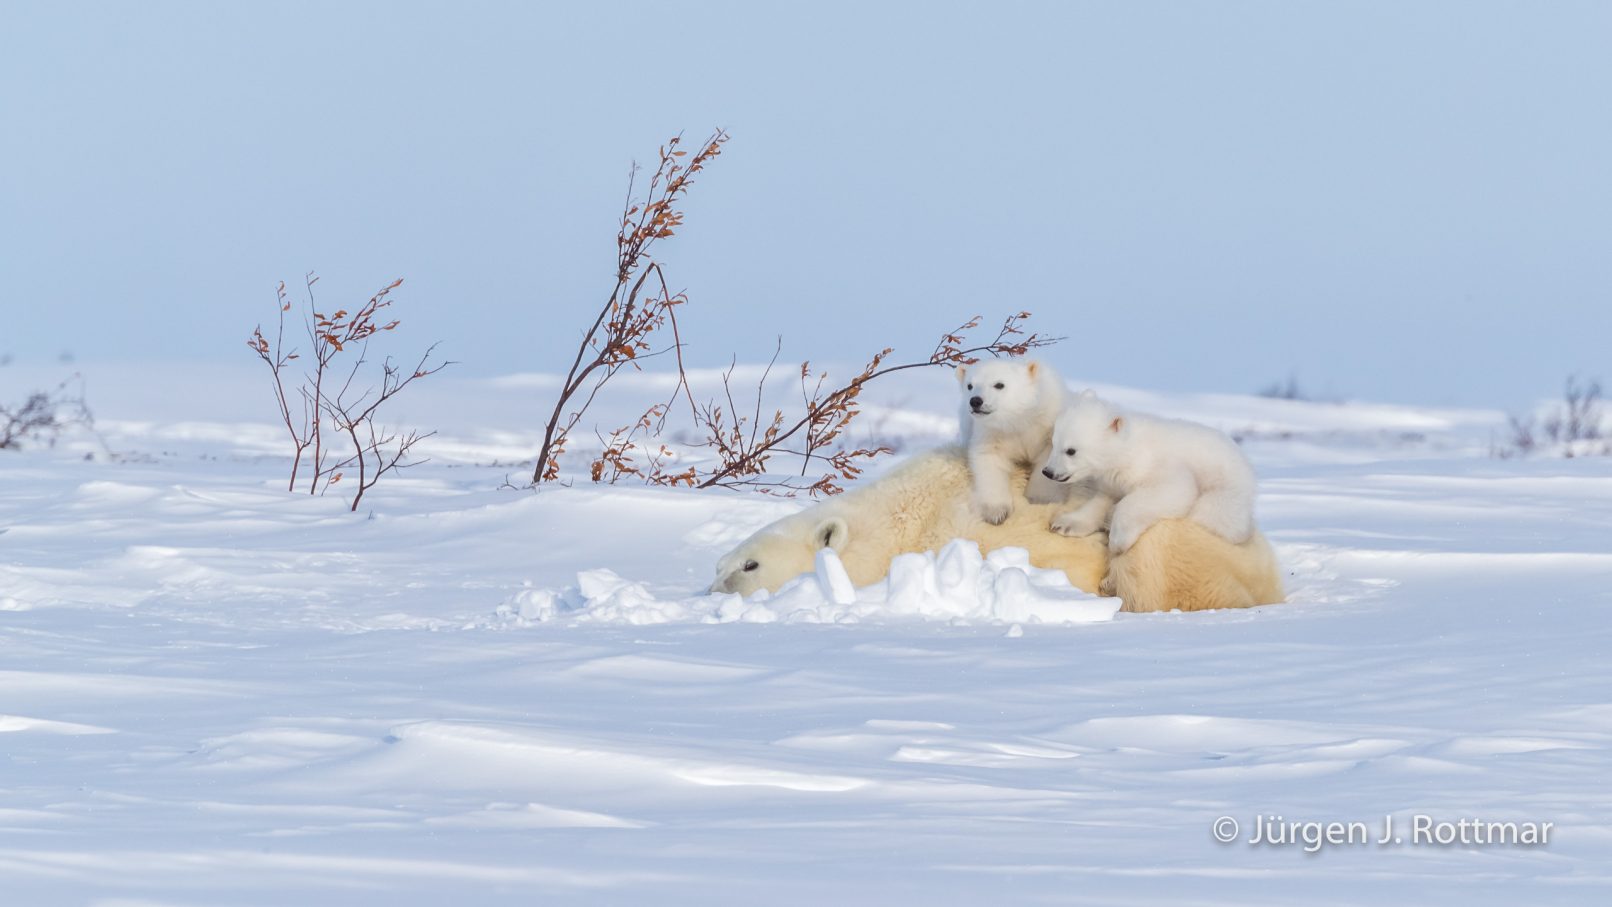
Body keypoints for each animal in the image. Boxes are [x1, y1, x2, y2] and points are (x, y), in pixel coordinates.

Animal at [957, 358, 1070, 525]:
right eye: (969, 385)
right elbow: (990, 460)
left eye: (999, 384)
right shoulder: (991, 433)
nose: (975, 401)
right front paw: (996, 512)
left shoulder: (1047, 425)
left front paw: (1041, 498)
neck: (1018, 420)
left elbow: (1049, 457)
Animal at [1042, 390, 1257, 556]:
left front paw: (1118, 540)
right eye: (1054, 442)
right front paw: (1065, 524)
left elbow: (1175, 490)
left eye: (1071, 450)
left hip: (1226, 494)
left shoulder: (1155, 465)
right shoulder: (1113, 480)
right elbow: (1101, 499)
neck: (1128, 450)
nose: (1048, 472)